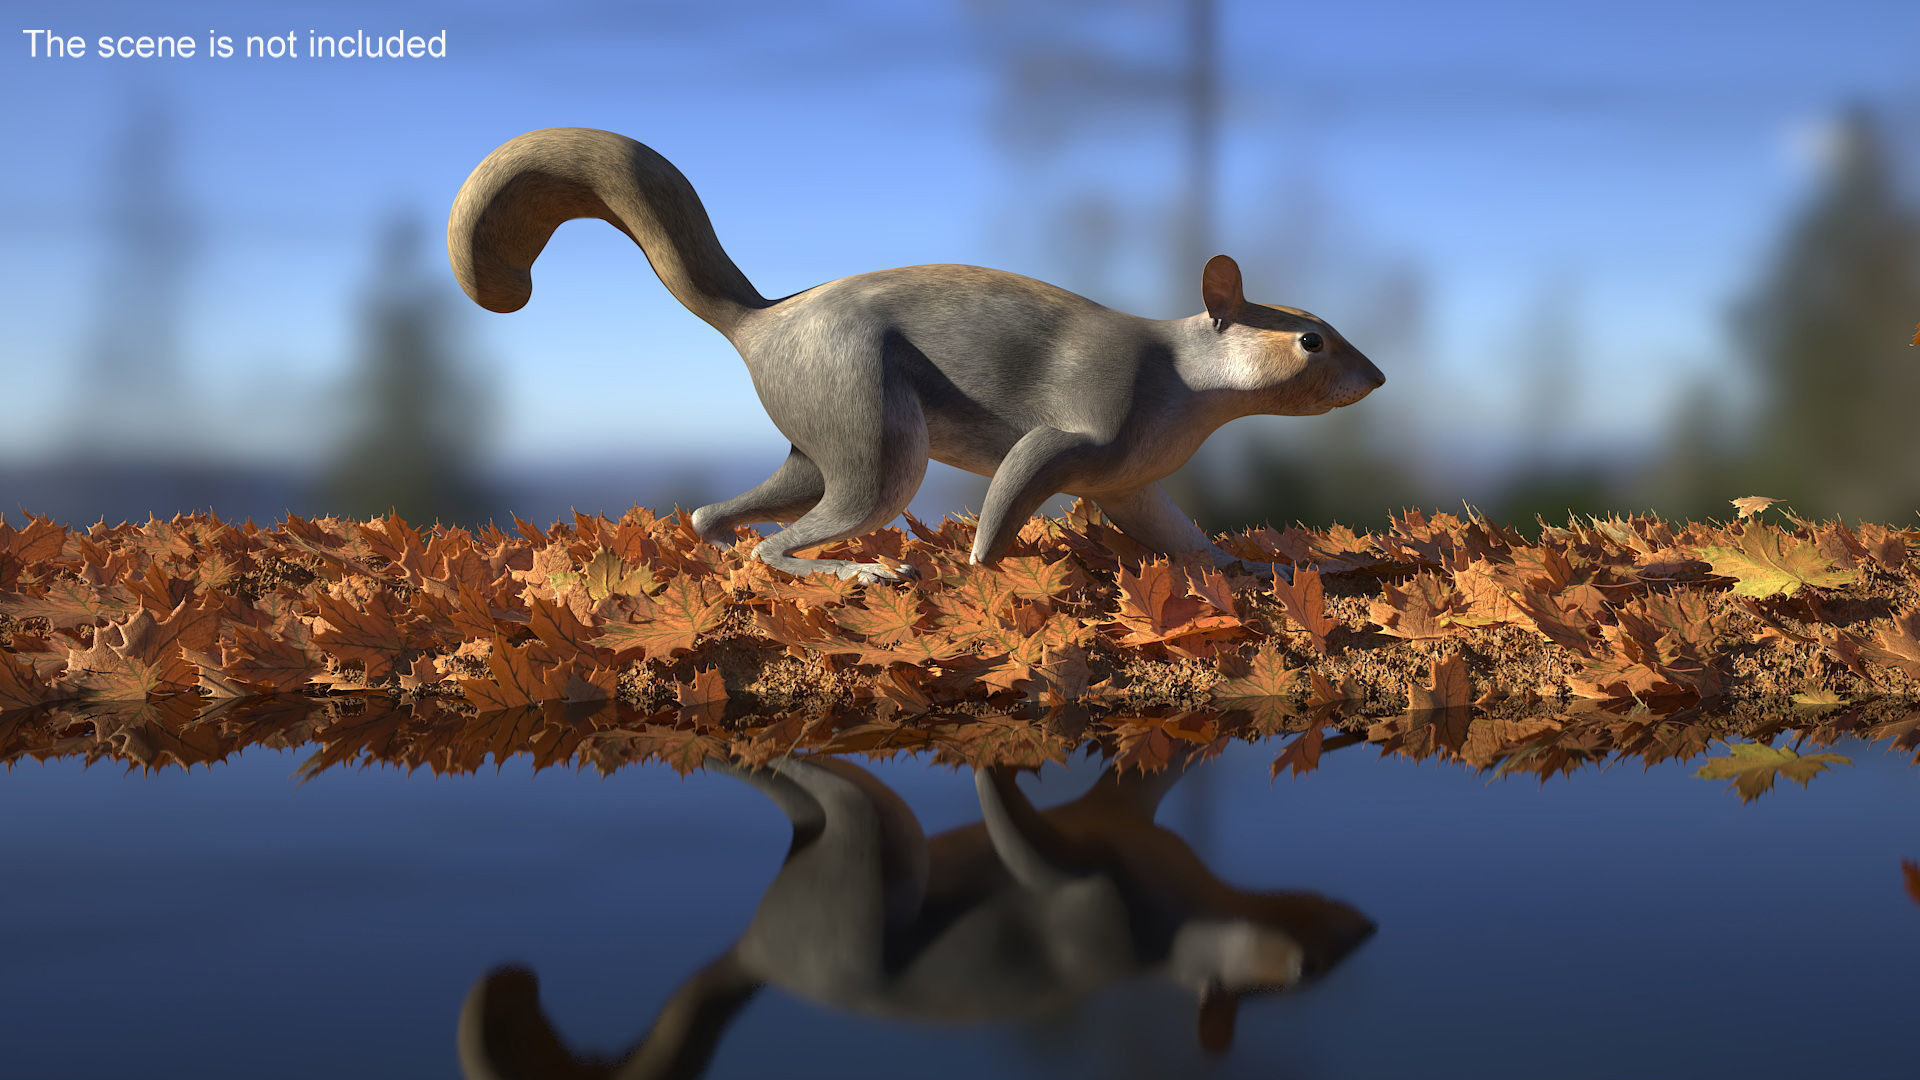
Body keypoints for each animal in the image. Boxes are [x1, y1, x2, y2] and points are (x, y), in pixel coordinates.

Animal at [449, 128, 1385, 584]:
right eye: (1311, 339)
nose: (1375, 378)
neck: (1186, 379)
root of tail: (764, 323)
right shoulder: (1077, 433)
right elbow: (1011, 495)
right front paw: (981, 575)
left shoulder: (1131, 484)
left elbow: (1181, 537)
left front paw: (1250, 566)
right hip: (871, 429)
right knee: (777, 544)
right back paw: (859, 570)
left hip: (821, 443)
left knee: (720, 517)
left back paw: (718, 553)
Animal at [456, 755, 1376, 1078]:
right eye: (1309, 970)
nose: (1366, 931)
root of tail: (759, 954)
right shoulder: (1084, 878)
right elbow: (1012, 821)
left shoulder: (1126, 812)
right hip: (877, 848)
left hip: (839, 837)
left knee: (784, 785)